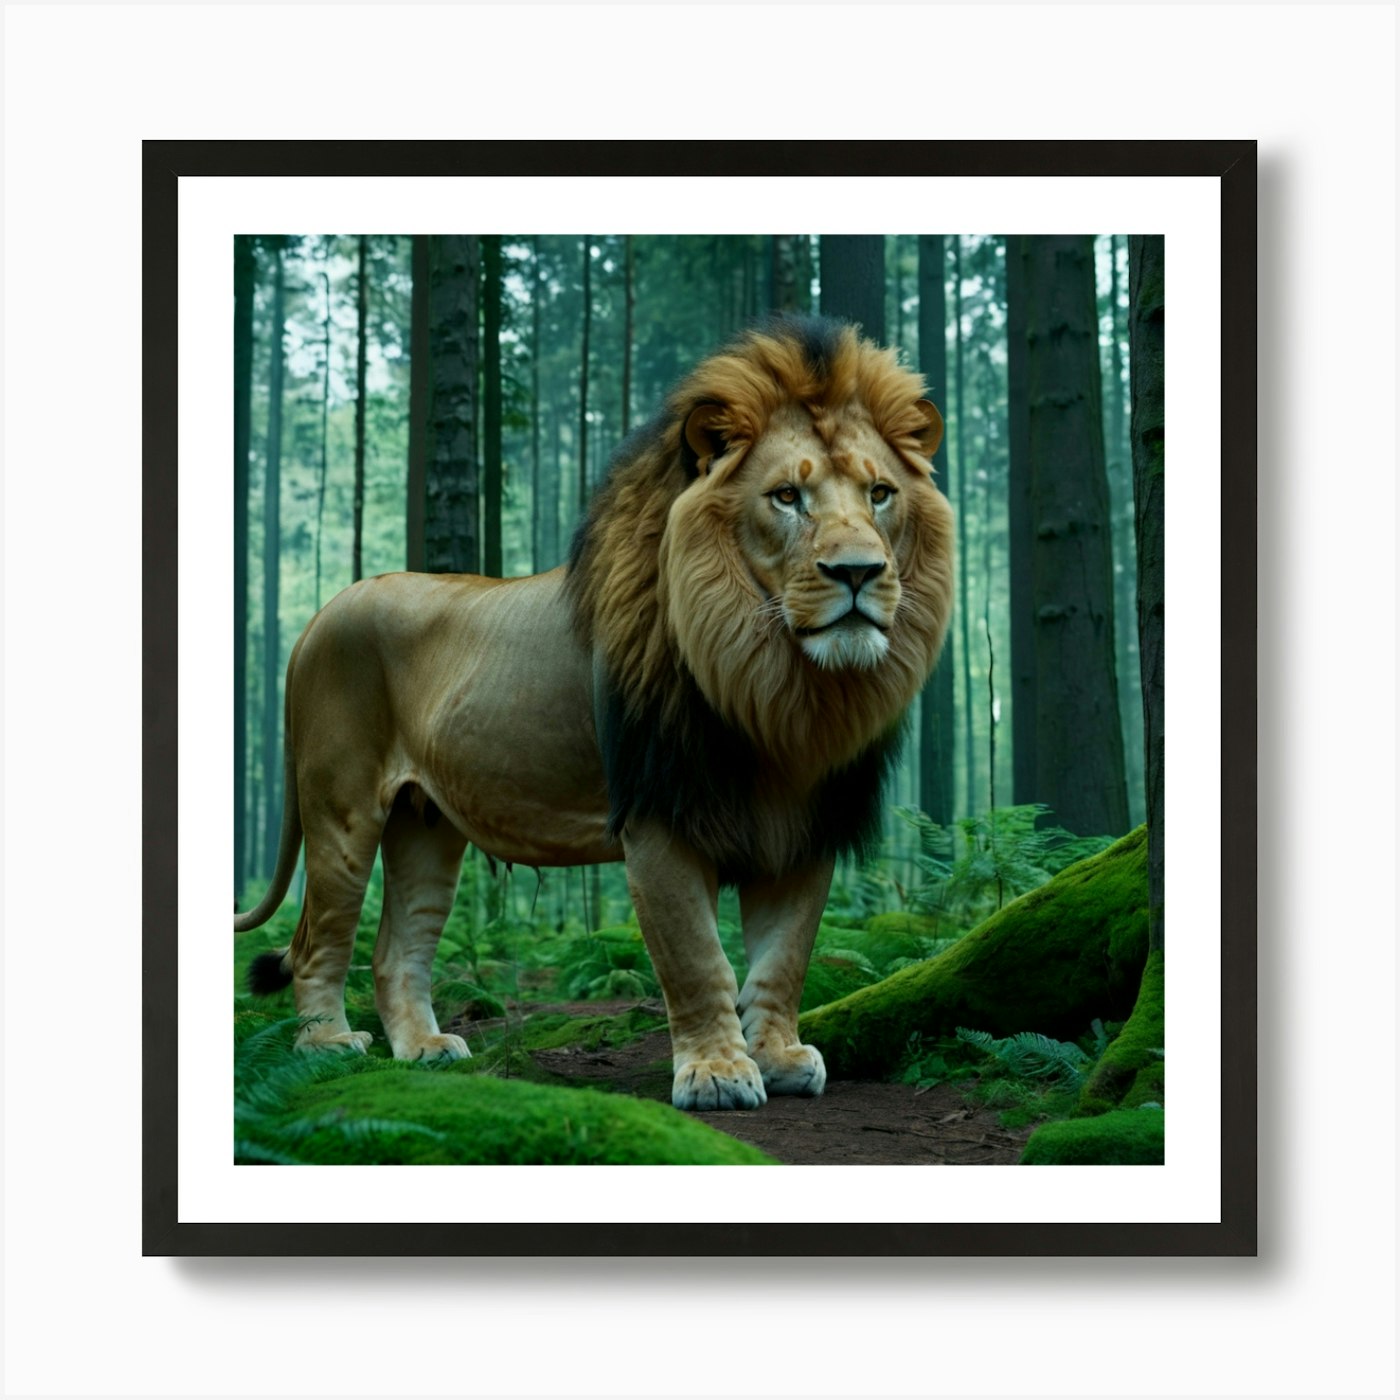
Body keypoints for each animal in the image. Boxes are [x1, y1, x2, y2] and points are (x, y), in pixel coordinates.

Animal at [238, 315, 954, 1111]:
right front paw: (716, 1072)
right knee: (316, 941)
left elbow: (783, 957)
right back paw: (326, 1047)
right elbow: (698, 959)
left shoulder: (804, 828)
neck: (777, 688)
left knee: (396, 950)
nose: (858, 572)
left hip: (425, 824)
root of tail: (318, 615)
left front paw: (777, 1056)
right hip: (342, 808)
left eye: (880, 493)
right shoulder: (657, 817)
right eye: (786, 497)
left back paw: (424, 1050)